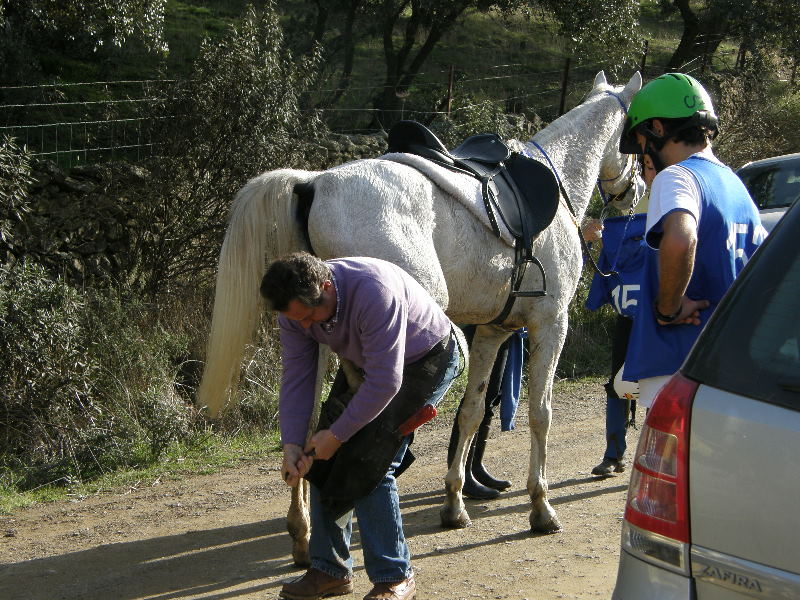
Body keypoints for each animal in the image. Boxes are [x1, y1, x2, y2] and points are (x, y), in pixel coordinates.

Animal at [198, 71, 644, 568]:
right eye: (635, 134)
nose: (639, 192)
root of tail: (313, 183)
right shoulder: (551, 324)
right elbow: (540, 414)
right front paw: (541, 507)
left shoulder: (492, 333)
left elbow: (471, 413)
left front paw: (454, 503)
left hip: (312, 340)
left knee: (305, 418)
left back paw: (303, 532)